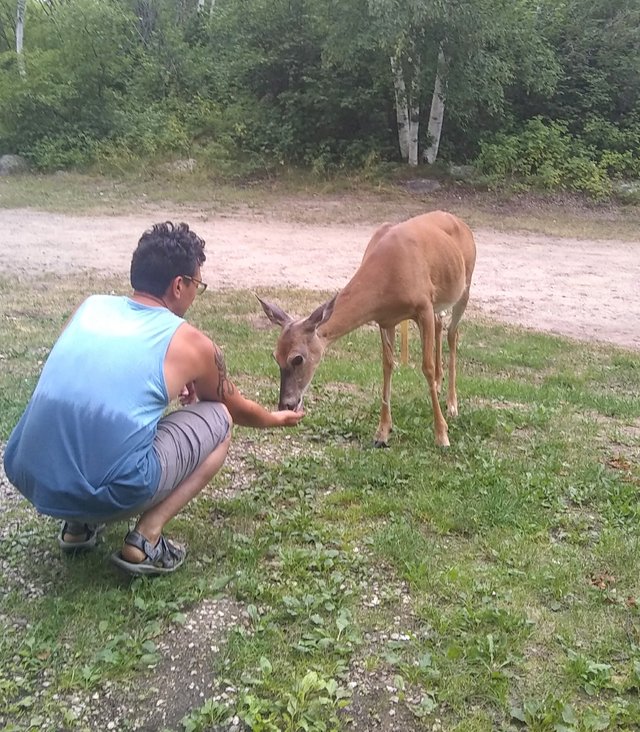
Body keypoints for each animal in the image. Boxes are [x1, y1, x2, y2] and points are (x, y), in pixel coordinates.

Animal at [258, 209, 476, 444]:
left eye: (297, 358)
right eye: (275, 356)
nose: (286, 404)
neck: (389, 273)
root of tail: (461, 222)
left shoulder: (423, 306)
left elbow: (425, 366)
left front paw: (442, 435)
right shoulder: (385, 319)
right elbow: (387, 365)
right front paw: (382, 432)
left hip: (464, 286)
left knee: (453, 333)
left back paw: (452, 405)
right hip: (439, 302)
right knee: (440, 325)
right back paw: (438, 383)